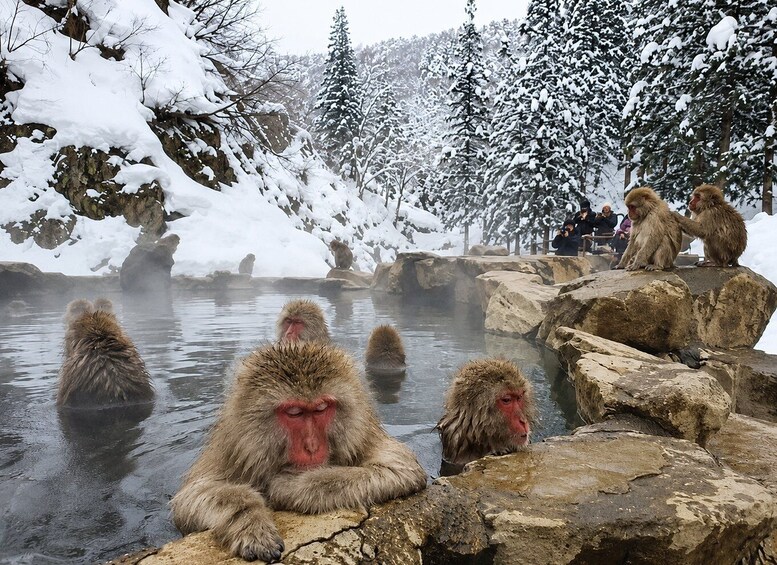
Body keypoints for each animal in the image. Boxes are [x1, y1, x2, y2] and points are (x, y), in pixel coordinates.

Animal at [170, 341, 427, 562]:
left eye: (321, 408)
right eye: (294, 412)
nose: (311, 446)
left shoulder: (363, 435)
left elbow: (401, 467)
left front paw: (289, 486)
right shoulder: (234, 449)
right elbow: (190, 498)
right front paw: (250, 523)